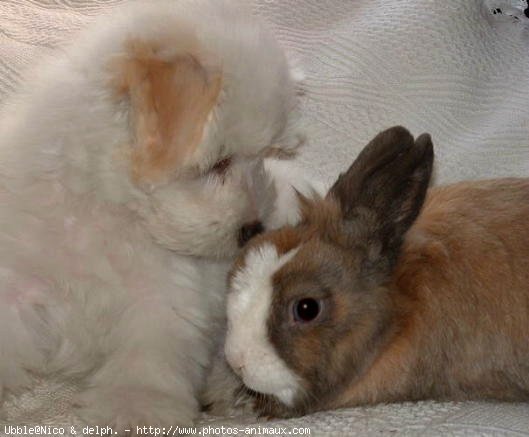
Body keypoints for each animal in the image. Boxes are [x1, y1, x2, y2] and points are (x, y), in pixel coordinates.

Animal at [0, 0, 304, 430]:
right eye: (219, 161)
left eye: (267, 157)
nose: (254, 228)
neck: (111, 210)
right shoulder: (19, 280)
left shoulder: (166, 298)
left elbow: (151, 354)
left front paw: (137, 407)